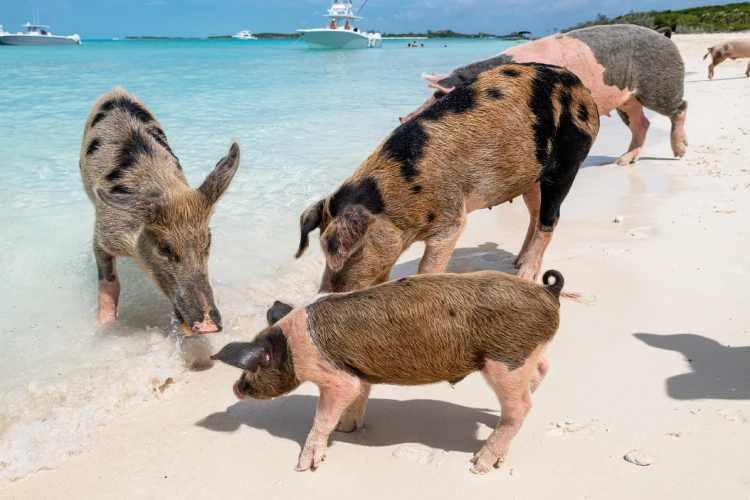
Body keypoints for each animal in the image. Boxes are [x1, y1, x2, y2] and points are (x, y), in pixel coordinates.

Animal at [79, 87, 241, 332]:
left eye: (208, 242)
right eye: (165, 248)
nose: (209, 325)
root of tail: (116, 89)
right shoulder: (102, 236)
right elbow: (109, 284)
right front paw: (106, 328)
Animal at [211, 269, 565, 474]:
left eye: (254, 366)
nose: (235, 388)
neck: (292, 345)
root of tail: (549, 292)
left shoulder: (337, 378)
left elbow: (323, 416)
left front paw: (303, 467)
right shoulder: (358, 372)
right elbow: (360, 395)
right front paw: (347, 430)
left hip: (504, 360)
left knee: (521, 407)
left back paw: (480, 466)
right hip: (523, 358)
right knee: (541, 370)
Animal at [294, 63, 599, 292]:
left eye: (352, 252)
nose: (324, 293)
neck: (396, 194)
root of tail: (581, 87)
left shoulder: (451, 220)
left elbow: (428, 265)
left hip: (569, 160)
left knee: (550, 219)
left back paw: (526, 277)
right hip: (532, 176)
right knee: (535, 215)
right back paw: (515, 264)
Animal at [401, 24, 688, 167]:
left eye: (439, 96)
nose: (403, 119)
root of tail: (663, 34)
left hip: (660, 85)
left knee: (680, 108)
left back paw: (679, 153)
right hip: (627, 99)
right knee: (642, 123)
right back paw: (622, 162)